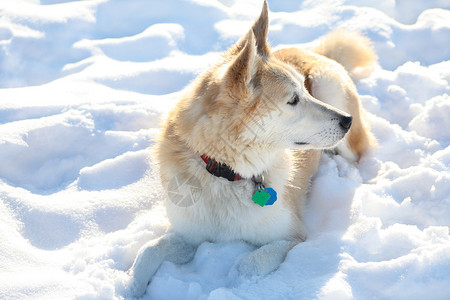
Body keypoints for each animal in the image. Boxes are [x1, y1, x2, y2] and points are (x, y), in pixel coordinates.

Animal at [127, 0, 376, 296]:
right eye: (293, 99)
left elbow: (249, 265)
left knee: (359, 155)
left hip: (332, 92)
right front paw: (130, 287)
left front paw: (235, 284)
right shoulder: (189, 234)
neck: (226, 173)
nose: (346, 121)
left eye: (305, 91)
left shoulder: (292, 236)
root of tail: (310, 50)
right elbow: (148, 251)